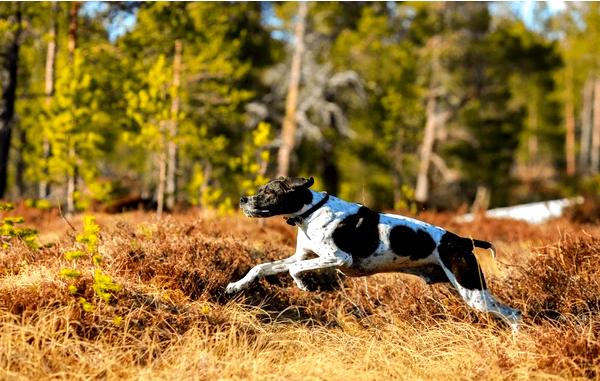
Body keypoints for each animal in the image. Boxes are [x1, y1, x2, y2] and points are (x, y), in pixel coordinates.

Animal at [227, 177, 524, 328]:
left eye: (267, 192)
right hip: (465, 288)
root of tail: (461, 240)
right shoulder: (303, 256)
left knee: (513, 314)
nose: (242, 199)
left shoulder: (337, 257)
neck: (311, 212)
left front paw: (302, 284)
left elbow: (293, 270)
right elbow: (261, 267)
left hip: (472, 291)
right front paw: (235, 285)